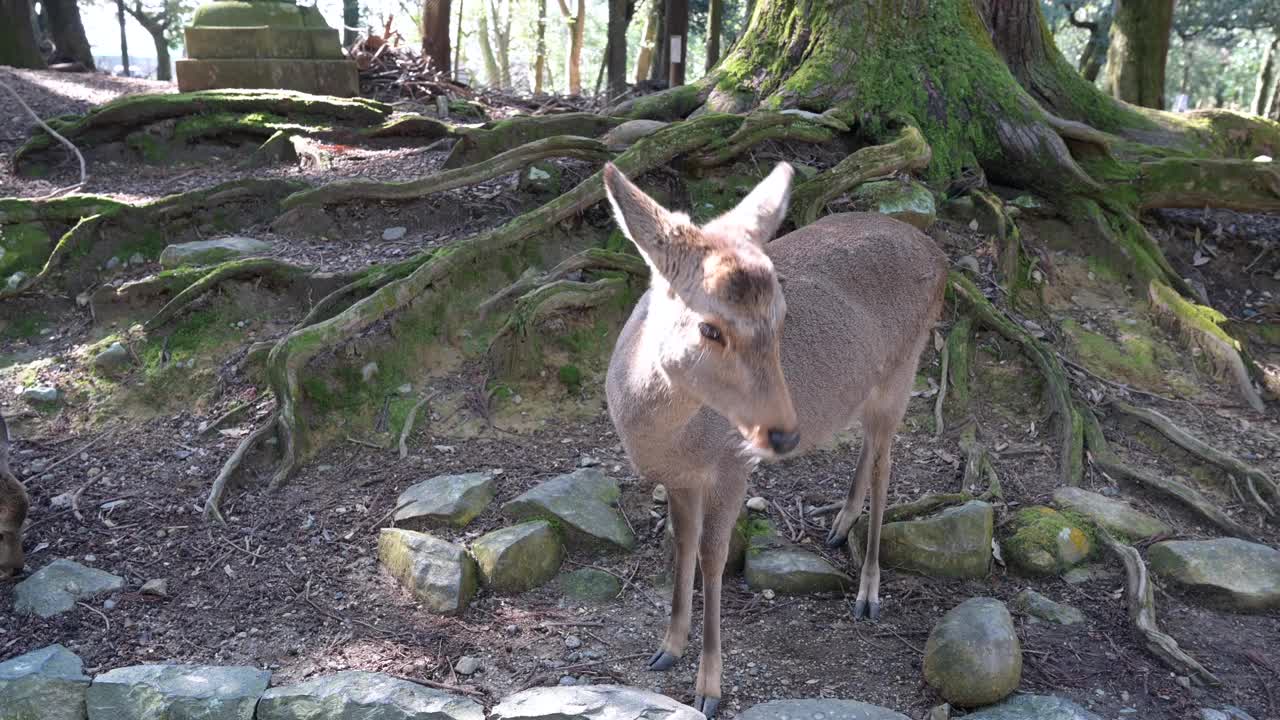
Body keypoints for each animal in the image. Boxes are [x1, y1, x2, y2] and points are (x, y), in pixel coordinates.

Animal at [601, 156, 952, 712]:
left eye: (782, 317)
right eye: (709, 327)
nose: (784, 434)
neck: (666, 441)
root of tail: (941, 257)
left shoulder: (730, 464)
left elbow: (712, 557)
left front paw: (709, 689)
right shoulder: (680, 476)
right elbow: (681, 545)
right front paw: (666, 648)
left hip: (905, 366)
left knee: (886, 464)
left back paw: (868, 593)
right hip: (870, 386)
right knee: (869, 444)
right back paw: (839, 525)